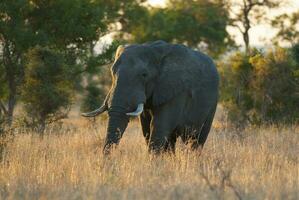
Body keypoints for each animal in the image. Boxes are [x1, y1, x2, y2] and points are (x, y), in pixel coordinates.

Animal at [82, 39, 220, 154]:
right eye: (112, 71)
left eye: (144, 75)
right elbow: (147, 128)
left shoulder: (177, 90)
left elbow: (159, 126)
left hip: (213, 103)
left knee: (197, 139)